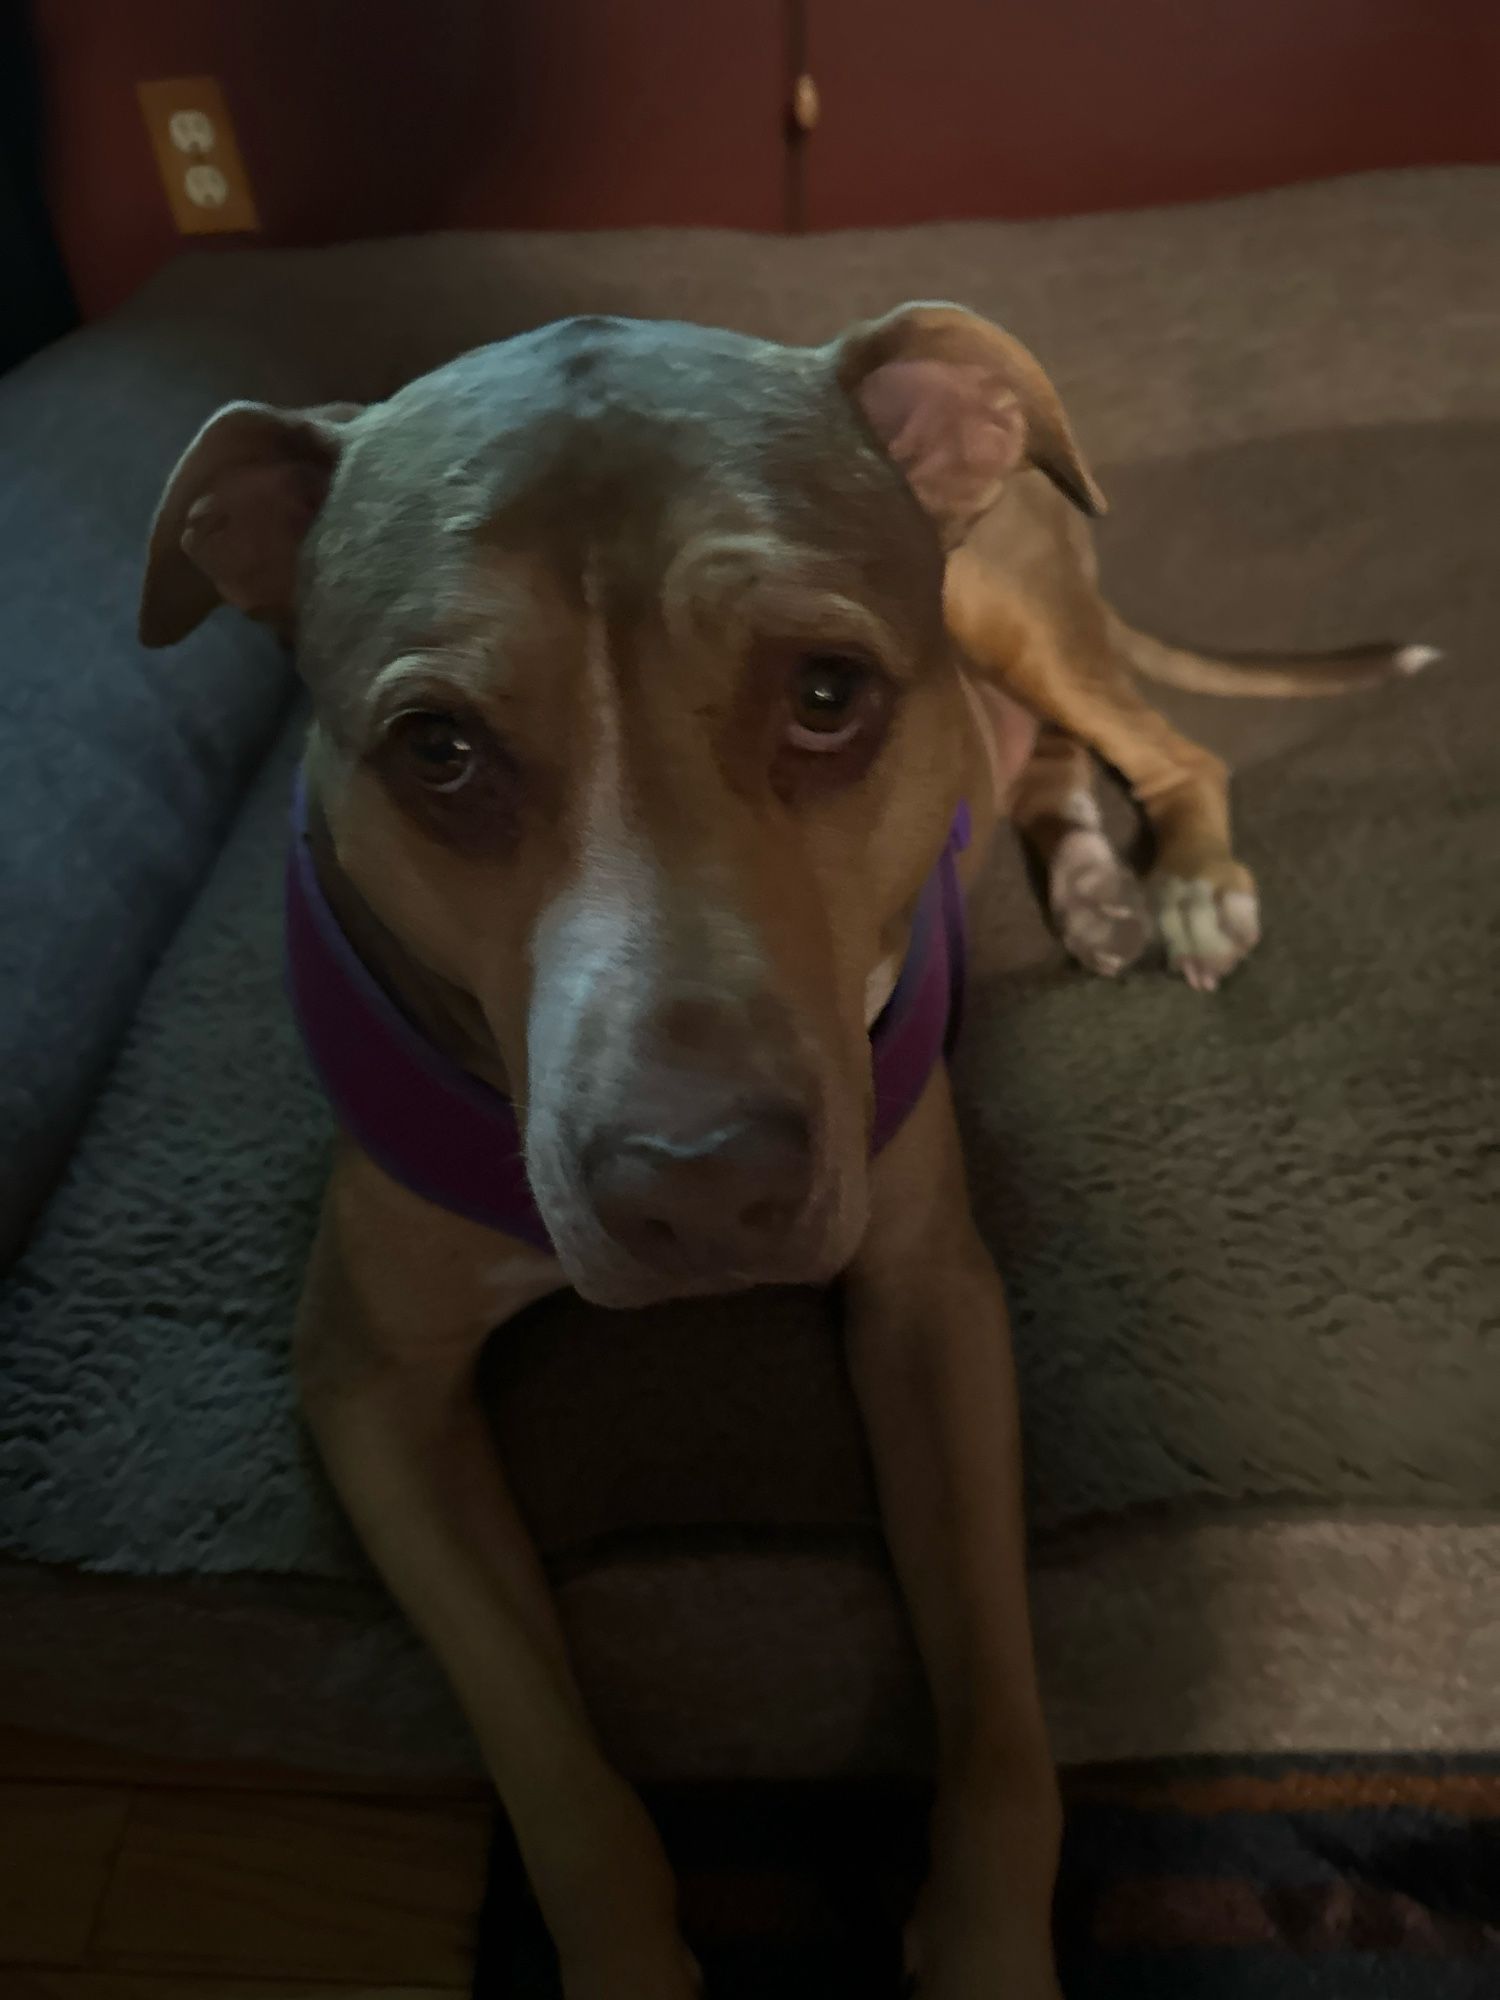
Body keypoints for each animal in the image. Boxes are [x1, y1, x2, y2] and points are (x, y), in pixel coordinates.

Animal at [138, 304, 1432, 1992]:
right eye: (436, 750)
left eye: (826, 693)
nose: (699, 1180)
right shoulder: (372, 1390)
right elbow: (549, 1759)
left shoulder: (933, 1306)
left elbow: (1002, 1719)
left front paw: (988, 1948)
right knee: (1040, 763)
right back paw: (1088, 884)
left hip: (1005, 597)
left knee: (1164, 746)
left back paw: (1187, 885)